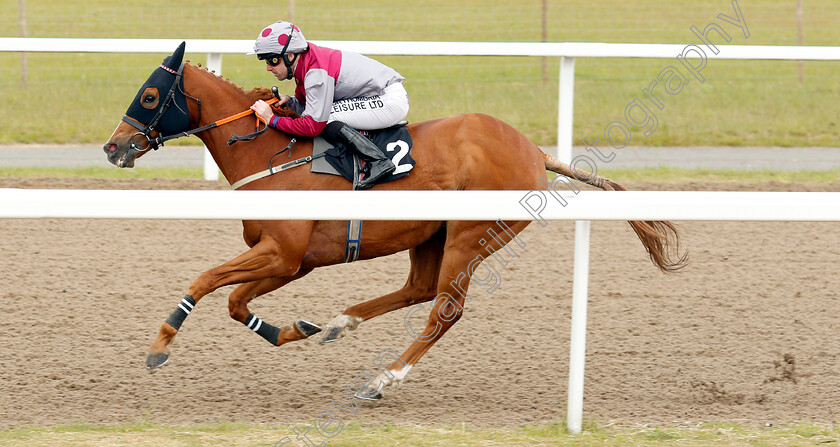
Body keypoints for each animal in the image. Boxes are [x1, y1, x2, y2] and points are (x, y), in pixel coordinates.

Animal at [101, 42, 684, 400]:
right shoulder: (292, 261)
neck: (267, 150)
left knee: (445, 310)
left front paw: (160, 346)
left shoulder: (283, 253)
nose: (113, 147)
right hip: (432, 235)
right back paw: (339, 322)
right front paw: (290, 328)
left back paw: (384, 379)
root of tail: (534, 152)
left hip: (472, 236)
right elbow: (235, 302)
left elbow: (205, 281)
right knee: (418, 289)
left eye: (149, 96)